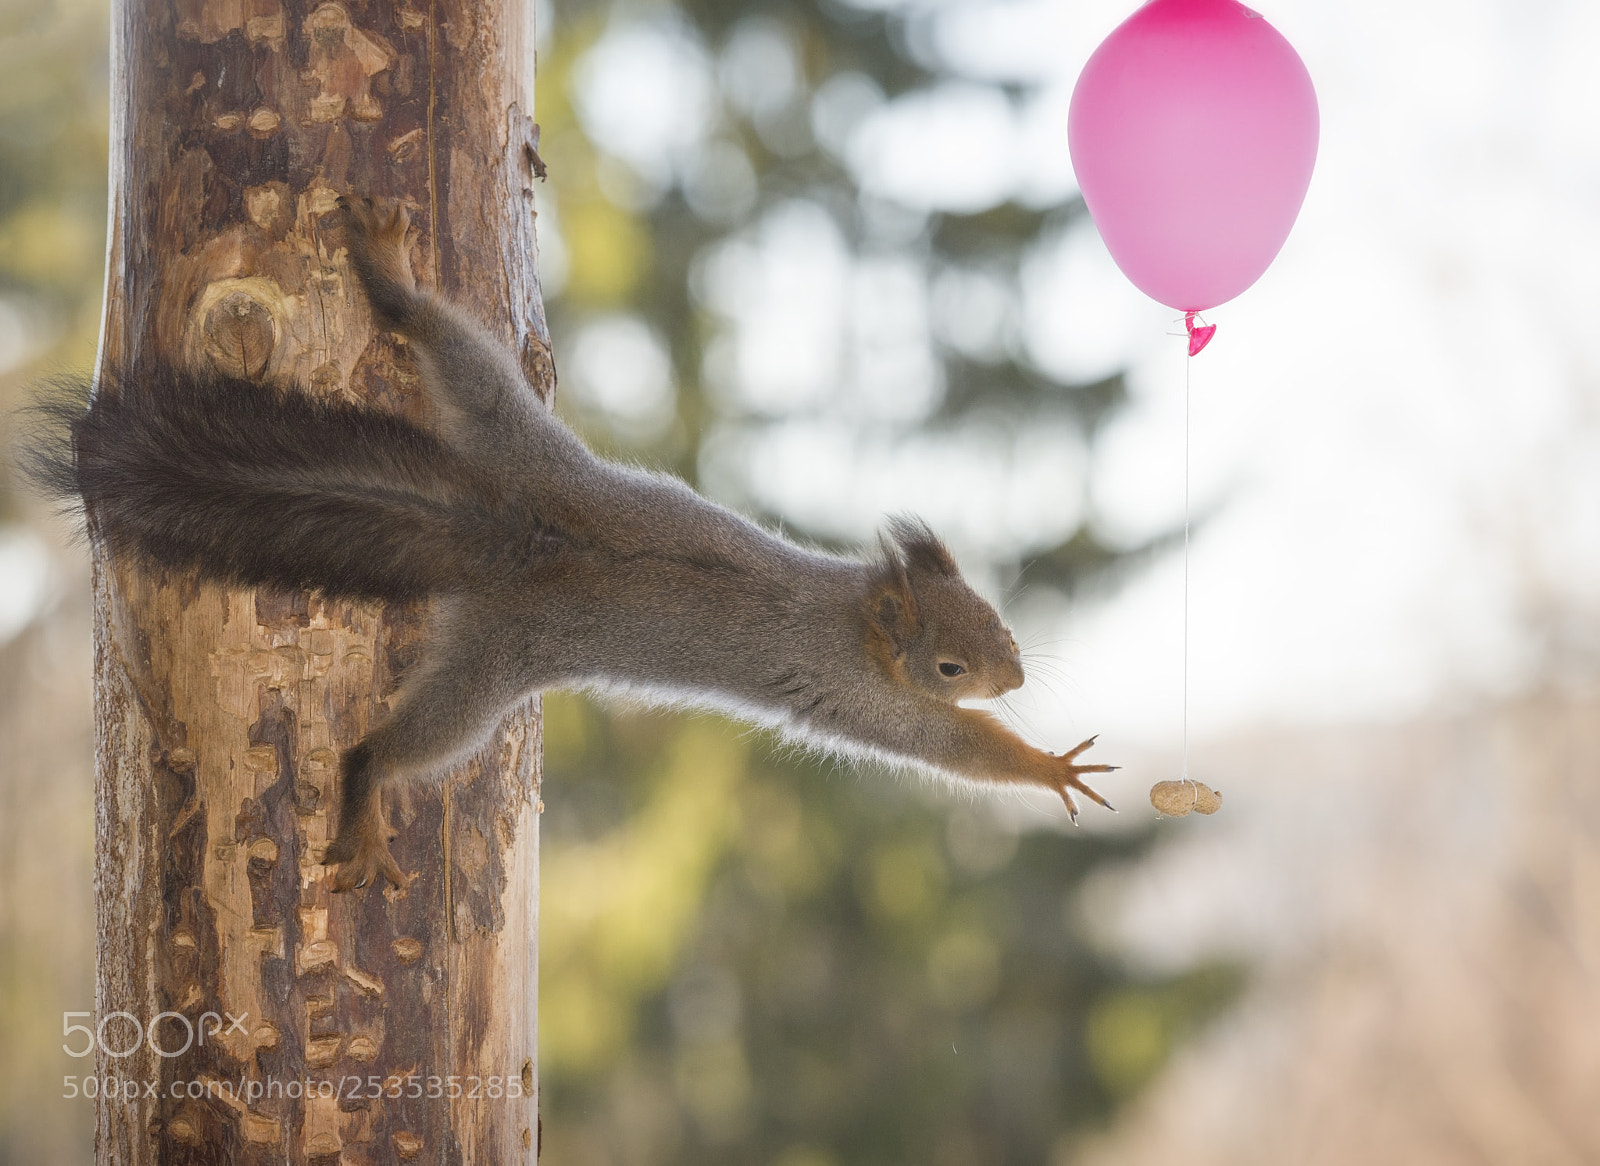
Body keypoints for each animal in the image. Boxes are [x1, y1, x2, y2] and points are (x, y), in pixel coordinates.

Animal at [24, 197, 1117, 892]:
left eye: (994, 616)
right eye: (951, 663)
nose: (1018, 675)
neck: (858, 615)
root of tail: (502, 535)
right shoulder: (877, 705)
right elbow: (960, 750)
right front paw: (1049, 766)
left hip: (505, 426)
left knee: (442, 344)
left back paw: (389, 279)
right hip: (490, 666)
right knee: (388, 748)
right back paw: (368, 801)